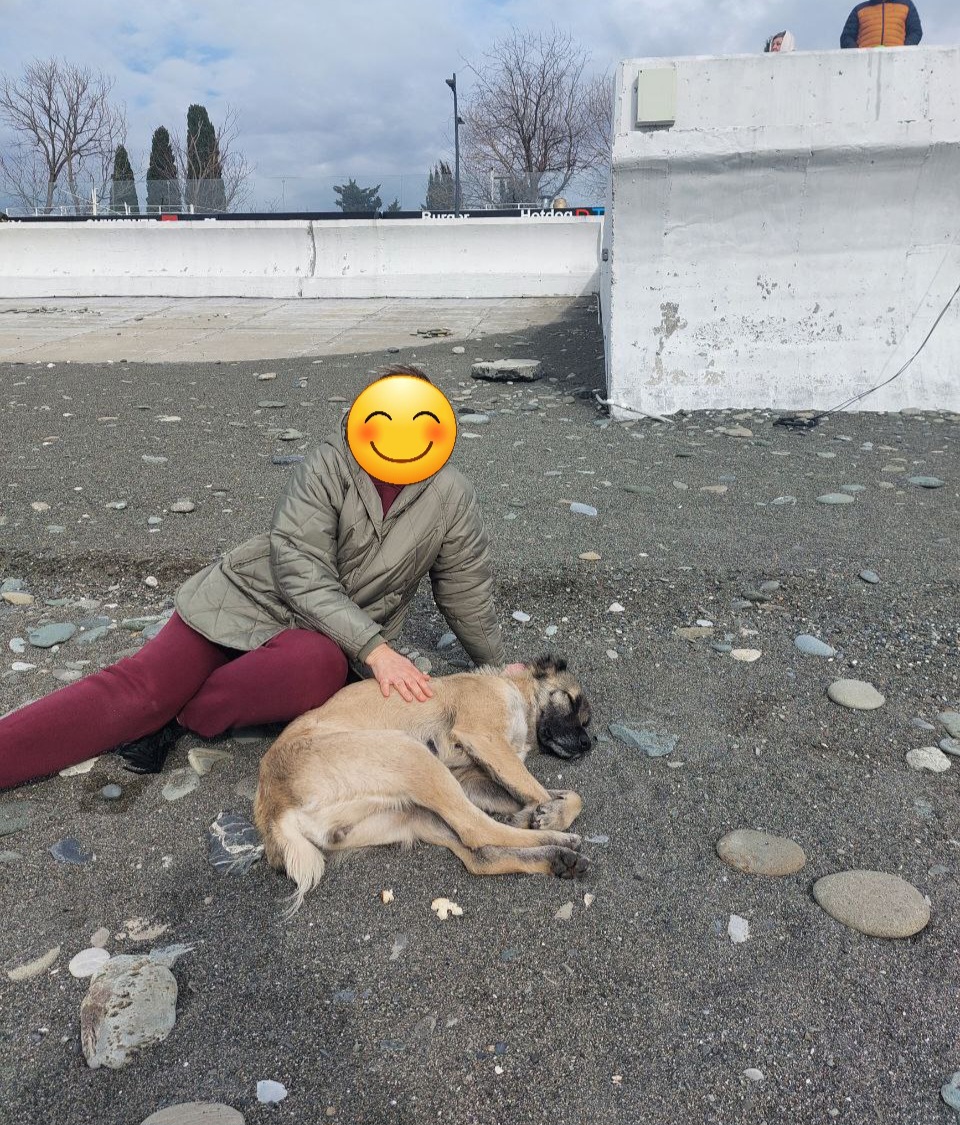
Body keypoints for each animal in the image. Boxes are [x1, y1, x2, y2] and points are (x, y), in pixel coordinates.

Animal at [254, 655, 593, 913]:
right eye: (570, 700)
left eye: (585, 719)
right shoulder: (485, 738)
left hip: (415, 812)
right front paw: (549, 814)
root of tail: (275, 809)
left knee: (479, 855)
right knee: (478, 828)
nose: (588, 744)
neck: (513, 689)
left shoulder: (471, 778)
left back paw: (558, 858)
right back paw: (561, 841)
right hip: (413, 755)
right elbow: (537, 791)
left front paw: (539, 812)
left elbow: (569, 796)